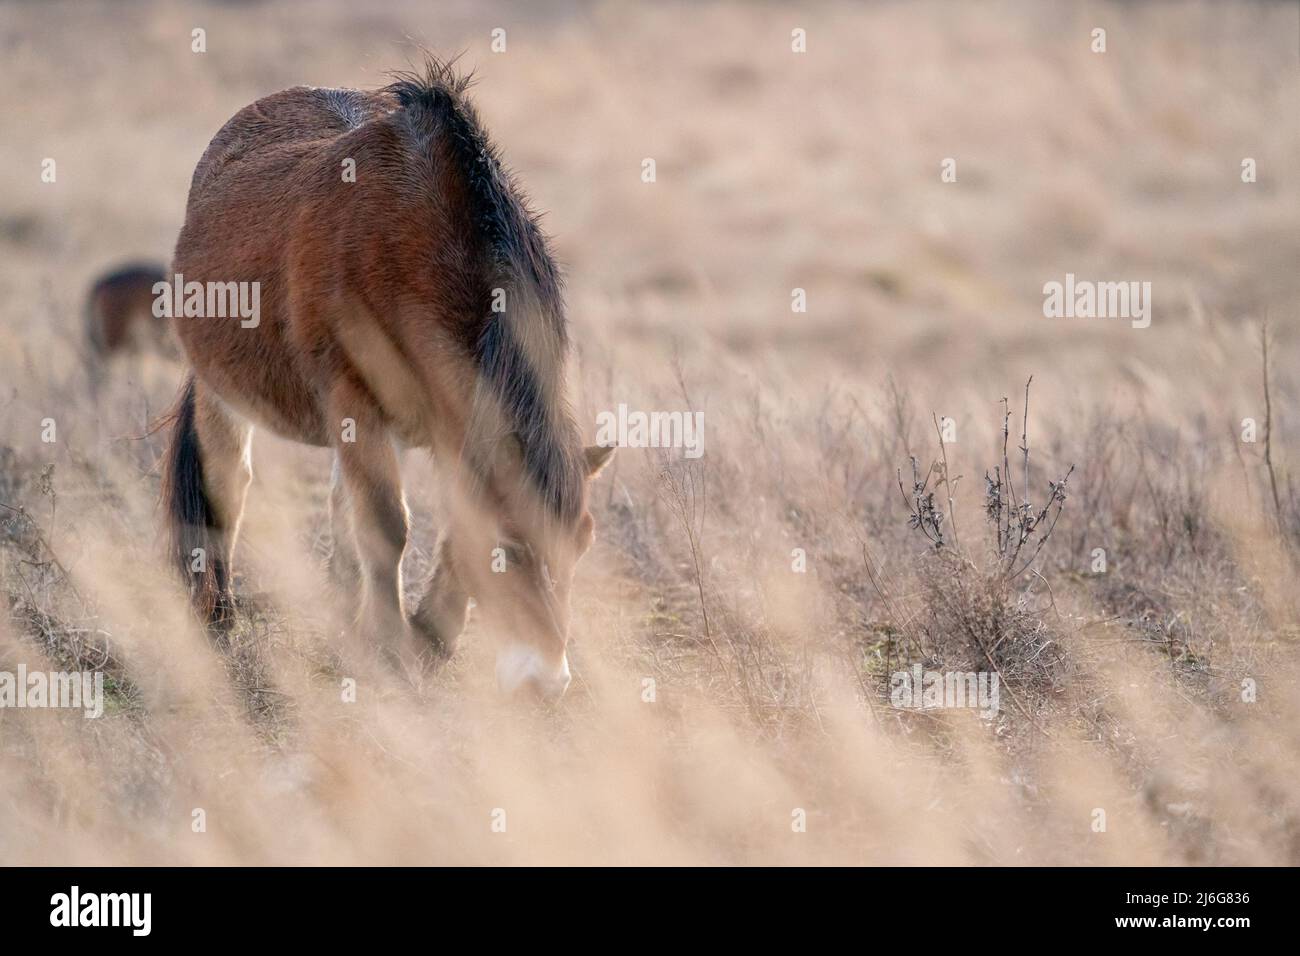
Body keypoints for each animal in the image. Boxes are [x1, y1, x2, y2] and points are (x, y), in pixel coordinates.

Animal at [161, 61, 613, 702]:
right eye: (507, 549)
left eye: (581, 545)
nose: (547, 683)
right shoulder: (356, 401)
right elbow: (385, 527)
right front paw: (392, 646)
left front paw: (426, 635)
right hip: (221, 388)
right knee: (227, 481)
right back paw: (217, 616)